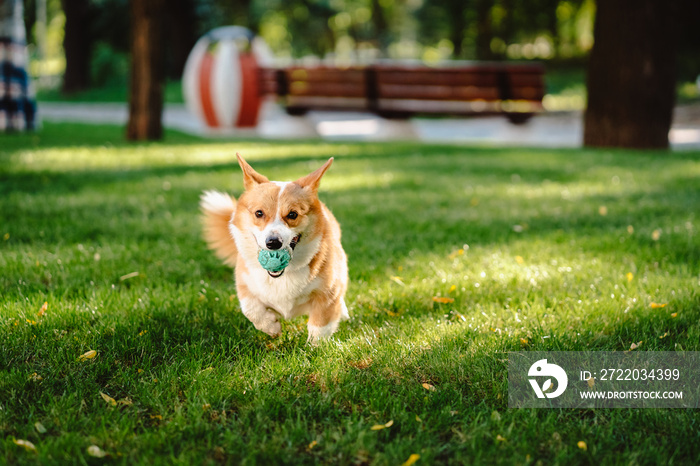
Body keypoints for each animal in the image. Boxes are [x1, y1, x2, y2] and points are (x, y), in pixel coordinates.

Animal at [198, 155, 348, 340]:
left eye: (293, 214)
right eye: (259, 213)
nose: (273, 243)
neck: (284, 275)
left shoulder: (328, 293)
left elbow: (320, 326)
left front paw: (315, 345)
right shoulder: (245, 282)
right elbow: (250, 308)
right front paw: (271, 327)